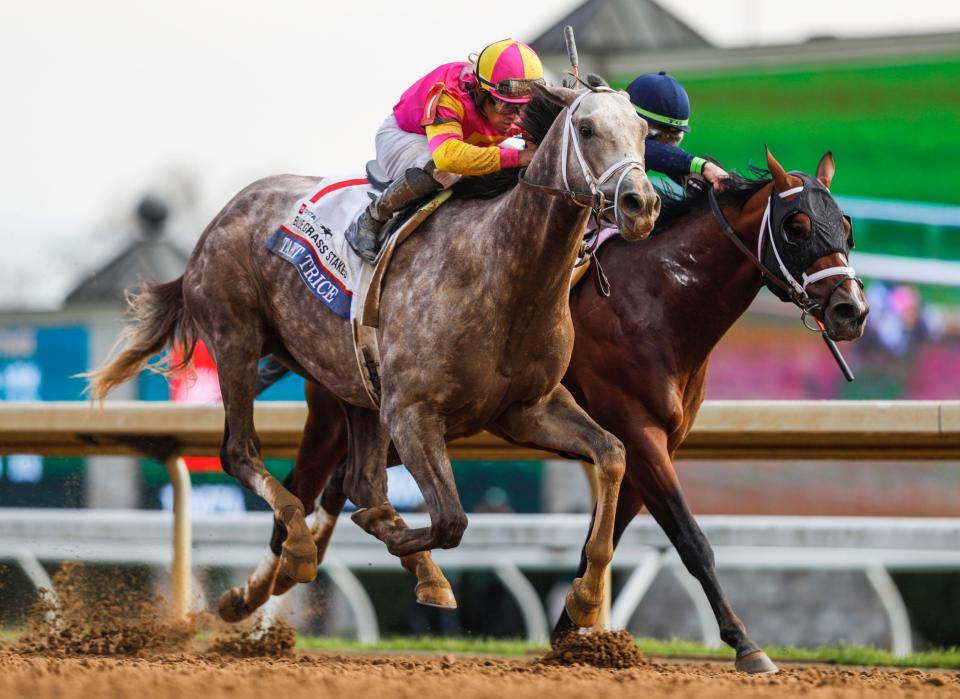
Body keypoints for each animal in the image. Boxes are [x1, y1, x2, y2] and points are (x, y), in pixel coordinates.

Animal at [84, 85, 660, 632]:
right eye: (586, 128)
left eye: (642, 132)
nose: (641, 204)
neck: (504, 272)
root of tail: (221, 217)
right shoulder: (412, 411)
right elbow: (450, 519)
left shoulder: (526, 408)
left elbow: (612, 454)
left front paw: (586, 598)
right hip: (236, 341)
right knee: (242, 454)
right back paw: (298, 550)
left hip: (351, 382)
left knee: (359, 478)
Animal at [236, 146, 868, 672]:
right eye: (796, 225)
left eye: (847, 225)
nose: (851, 311)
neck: (660, 301)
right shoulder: (638, 433)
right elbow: (692, 541)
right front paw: (745, 644)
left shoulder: (648, 444)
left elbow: (603, 535)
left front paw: (574, 631)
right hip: (338, 413)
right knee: (299, 494)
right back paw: (254, 609)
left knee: (341, 487)